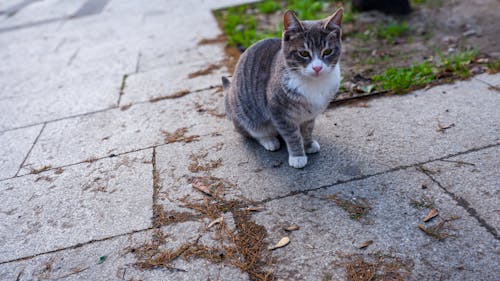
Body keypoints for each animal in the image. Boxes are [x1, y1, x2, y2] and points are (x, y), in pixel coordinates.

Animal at [224, 7, 344, 167]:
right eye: (303, 53)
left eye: (327, 51)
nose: (317, 68)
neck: (313, 83)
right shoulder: (279, 112)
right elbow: (292, 135)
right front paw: (297, 156)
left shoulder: (310, 115)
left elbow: (307, 129)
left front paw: (308, 144)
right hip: (246, 114)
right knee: (252, 132)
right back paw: (269, 140)